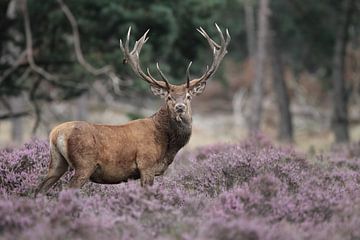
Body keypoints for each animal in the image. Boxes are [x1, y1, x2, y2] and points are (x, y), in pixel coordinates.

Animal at [35, 23, 231, 195]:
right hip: (84, 165)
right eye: (169, 97)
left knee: (39, 190)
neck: (168, 145)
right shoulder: (146, 165)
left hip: (56, 162)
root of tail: (55, 134)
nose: (180, 107)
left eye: (188, 96)